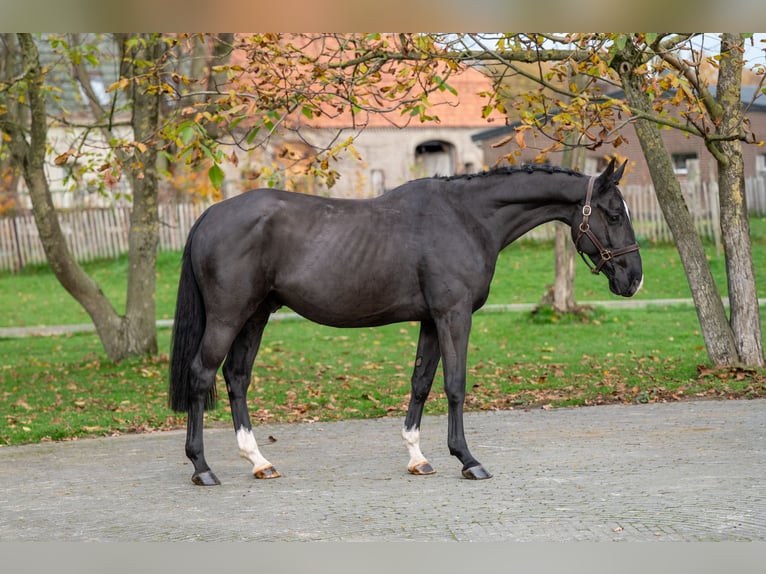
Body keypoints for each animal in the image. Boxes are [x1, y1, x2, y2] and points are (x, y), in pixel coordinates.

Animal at [169, 158, 642, 485]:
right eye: (614, 214)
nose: (633, 279)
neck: (466, 217)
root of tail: (210, 215)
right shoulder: (453, 316)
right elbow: (455, 385)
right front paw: (468, 460)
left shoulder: (431, 320)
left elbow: (421, 383)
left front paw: (418, 458)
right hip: (229, 316)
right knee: (201, 375)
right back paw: (202, 467)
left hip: (256, 315)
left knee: (237, 377)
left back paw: (259, 461)